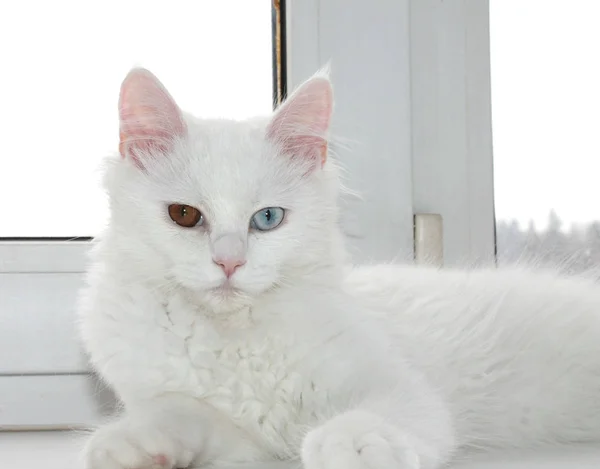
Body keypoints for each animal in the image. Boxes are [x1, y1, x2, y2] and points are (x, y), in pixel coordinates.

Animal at [77, 66, 600, 468]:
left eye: (267, 219)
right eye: (184, 215)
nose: (229, 261)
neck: (235, 339)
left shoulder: (397, 388)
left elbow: (374, 416)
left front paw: (350, 445)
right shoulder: (236, 434)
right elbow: (177, 415)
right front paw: (126, 444)